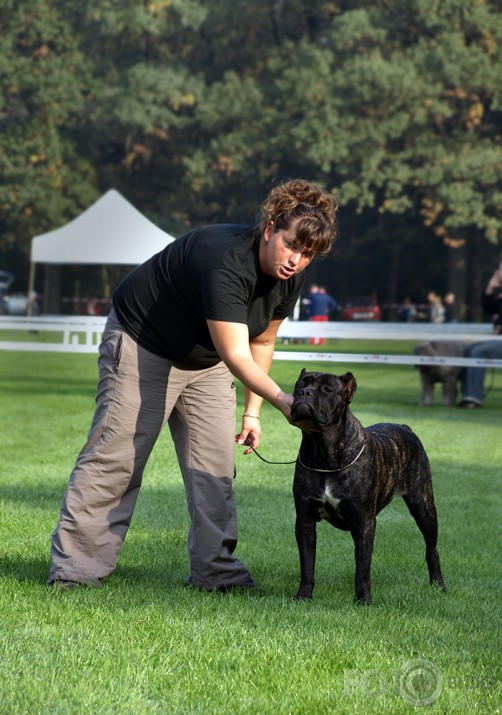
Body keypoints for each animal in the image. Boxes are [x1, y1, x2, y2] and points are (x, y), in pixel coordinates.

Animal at [290, 370, 448, 604]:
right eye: (299, 384)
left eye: (327, 389)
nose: (305, 393)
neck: (323, 451)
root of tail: (405, 427)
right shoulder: (305, 521)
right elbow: (307, 564)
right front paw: (304, 595)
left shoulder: (365, 522)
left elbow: (363, 567)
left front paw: (363, 599)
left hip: (424, 506)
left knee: (432, 548)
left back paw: (438, 585)